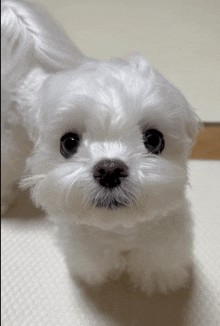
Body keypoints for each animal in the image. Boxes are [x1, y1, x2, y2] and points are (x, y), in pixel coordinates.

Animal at [1, 0, 201, 294]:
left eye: (154, 140)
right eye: (68, 143)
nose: (109, 170)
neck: (121, 229)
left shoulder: (164, 235)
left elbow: (158, 261)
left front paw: (159, 280)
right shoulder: (85, 243)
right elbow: (95, 262)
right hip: (11, 145)